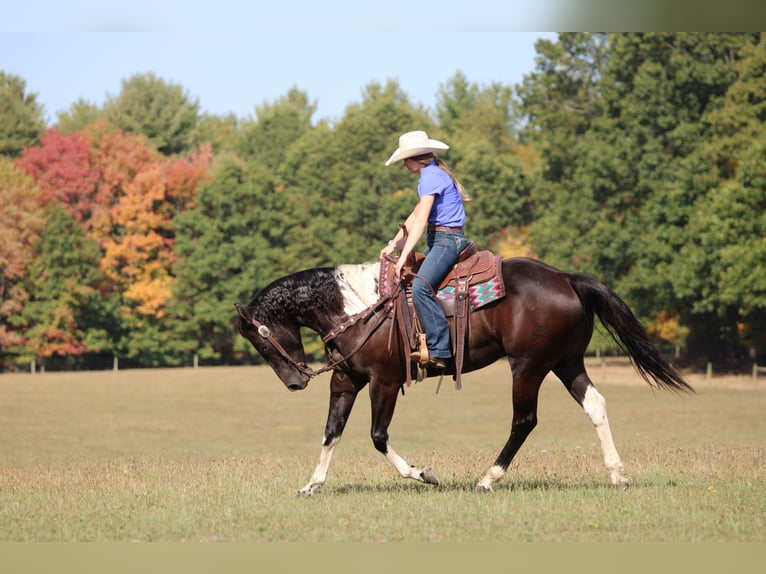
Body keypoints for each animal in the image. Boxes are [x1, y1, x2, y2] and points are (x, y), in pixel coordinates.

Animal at [235, 256, 693, 495]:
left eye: (260, 340)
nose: (295, 382)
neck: (357, 308)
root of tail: (566, 278)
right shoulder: (345, 381)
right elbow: (331, 433)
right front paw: (312, 484)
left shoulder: (384, 382)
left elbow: (378, 437)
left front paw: (423, 474)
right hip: (566, 363)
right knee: (595, 405)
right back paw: (617, 473)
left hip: (527, 366)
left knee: (524, 420)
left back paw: (488, 478)